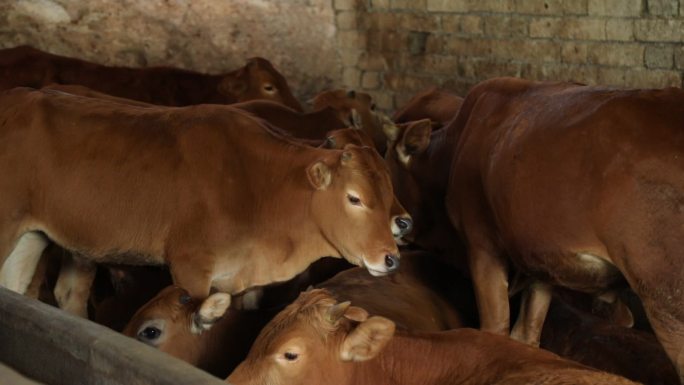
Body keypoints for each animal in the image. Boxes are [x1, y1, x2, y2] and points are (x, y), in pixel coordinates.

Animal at [0, 86, 400, 318]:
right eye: (354, 198)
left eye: (389, 191)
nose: (391, 257)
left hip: (32, 236)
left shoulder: (237, 279)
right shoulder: (191, 268)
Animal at [382, 77, 684, 380]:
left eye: (384, 174)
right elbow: (526, 332)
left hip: (665, 296)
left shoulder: (482, 246)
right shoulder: (541, 262)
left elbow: (495, 327)